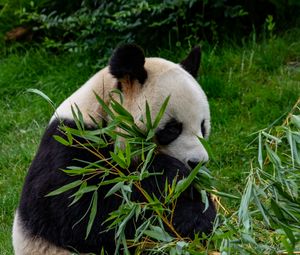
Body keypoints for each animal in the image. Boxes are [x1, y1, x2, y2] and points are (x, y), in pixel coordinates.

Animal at [12, 44, 216, 254]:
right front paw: (170, 172)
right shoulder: (70, 147)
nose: (198, 162)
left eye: (203, 127)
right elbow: (87, 217)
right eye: (173, 129)